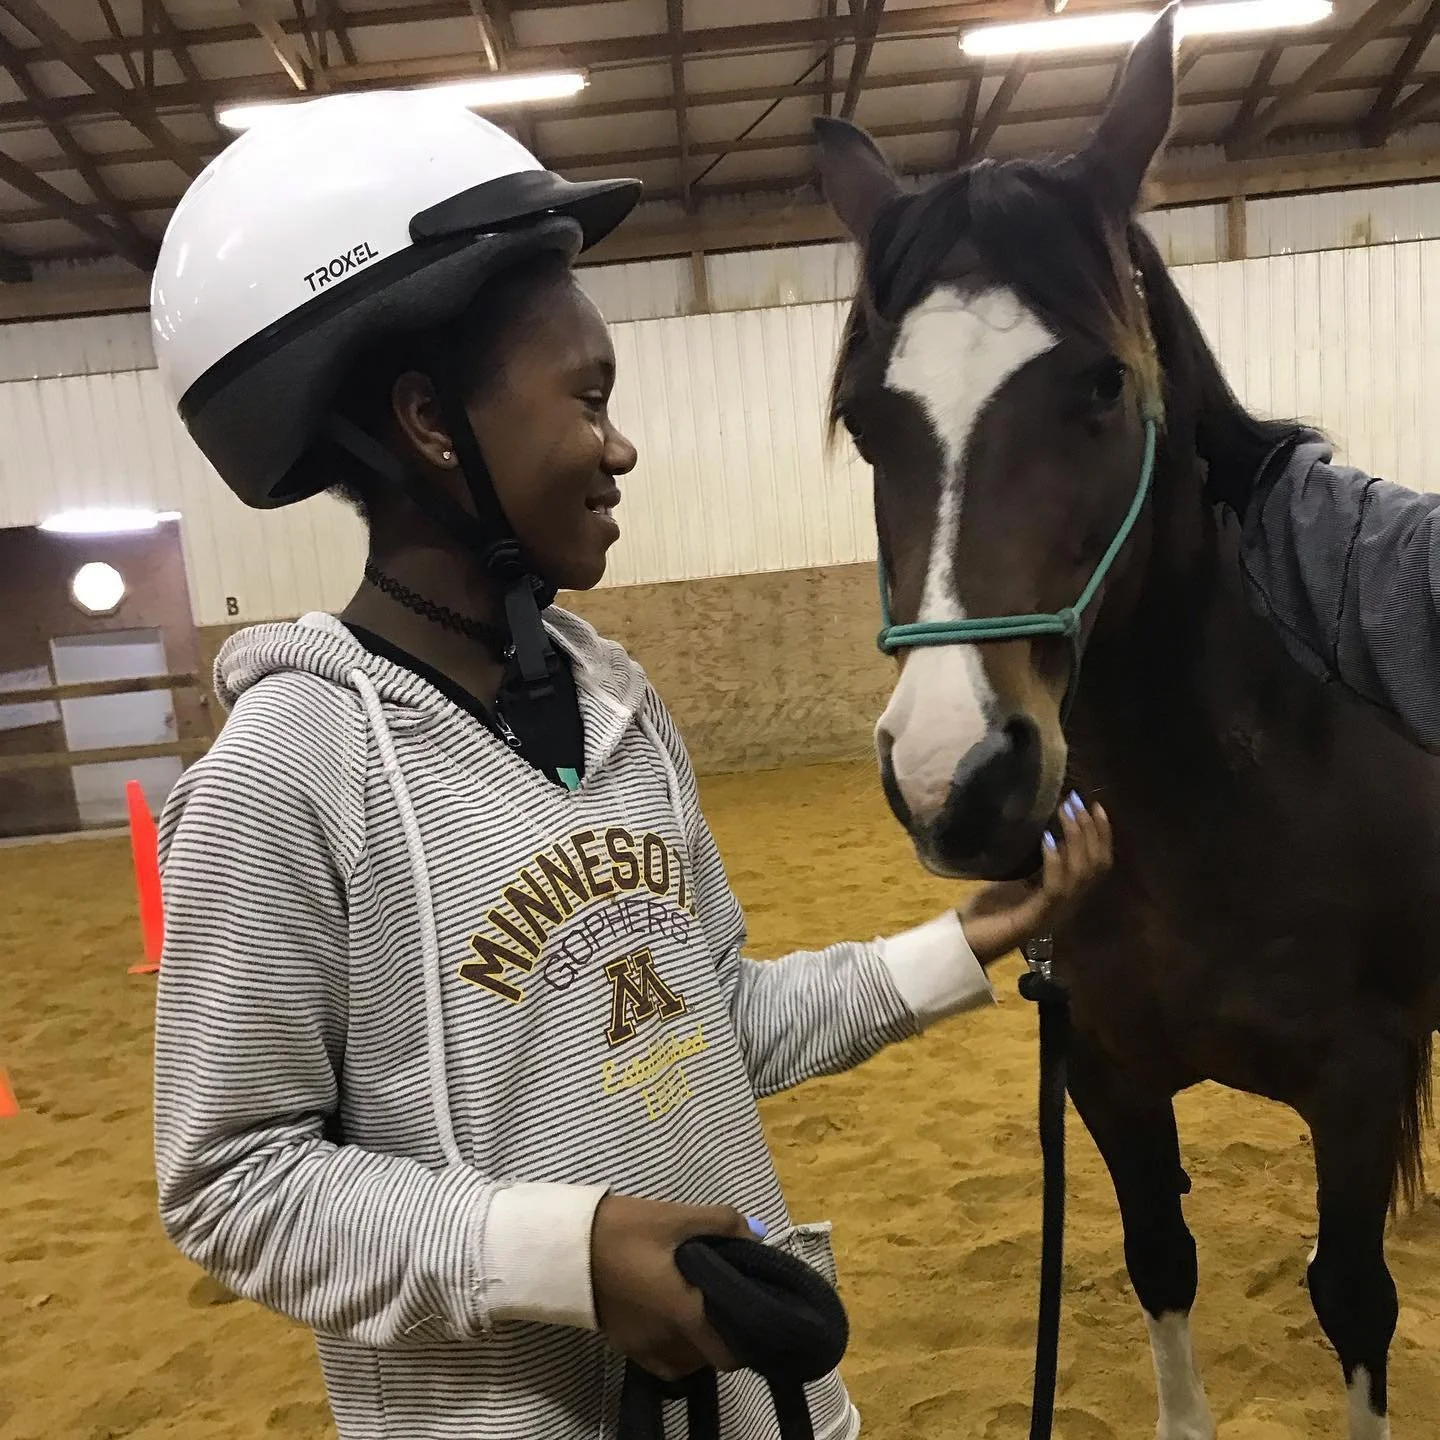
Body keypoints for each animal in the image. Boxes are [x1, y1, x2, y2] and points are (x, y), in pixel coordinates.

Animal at [813, 11, 1439, 1438]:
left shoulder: (1359, 1083)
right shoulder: (1105, 1067)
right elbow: (1162, 1258)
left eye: (1103, 384)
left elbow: (1355, 1301)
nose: (957, 776)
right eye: (869, 420)